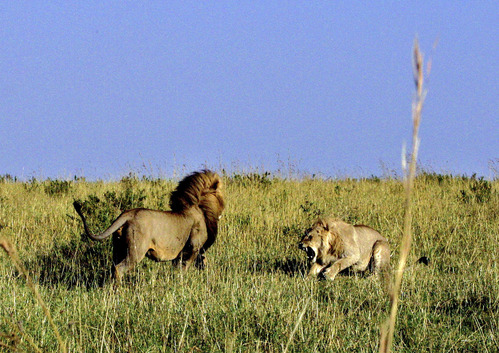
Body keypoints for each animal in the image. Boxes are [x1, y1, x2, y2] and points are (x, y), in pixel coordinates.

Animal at [73, 169, 225, 282]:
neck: (199, 207)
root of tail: (128, 214)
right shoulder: (190, 250)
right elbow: (182, 271)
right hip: (136, 250)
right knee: (119, 269)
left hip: (118, 249)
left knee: (113, 267)